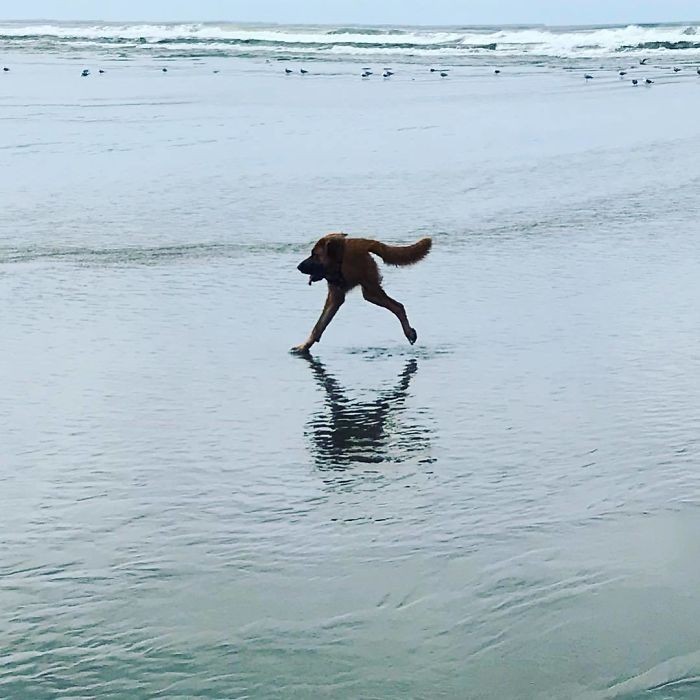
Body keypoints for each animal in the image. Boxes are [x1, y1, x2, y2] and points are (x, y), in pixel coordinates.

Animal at [292, 234, 432, 352]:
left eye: (315, 254)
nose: (298, 267)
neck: (338, 262)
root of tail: (362, 242)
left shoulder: (336, 297)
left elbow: (319, 324)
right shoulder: (335, 297)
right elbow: (319, 326)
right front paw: (304, 346)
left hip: (371, 290)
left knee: (398, 306)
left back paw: (409, 333)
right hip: (370, 293)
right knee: (397, 306)